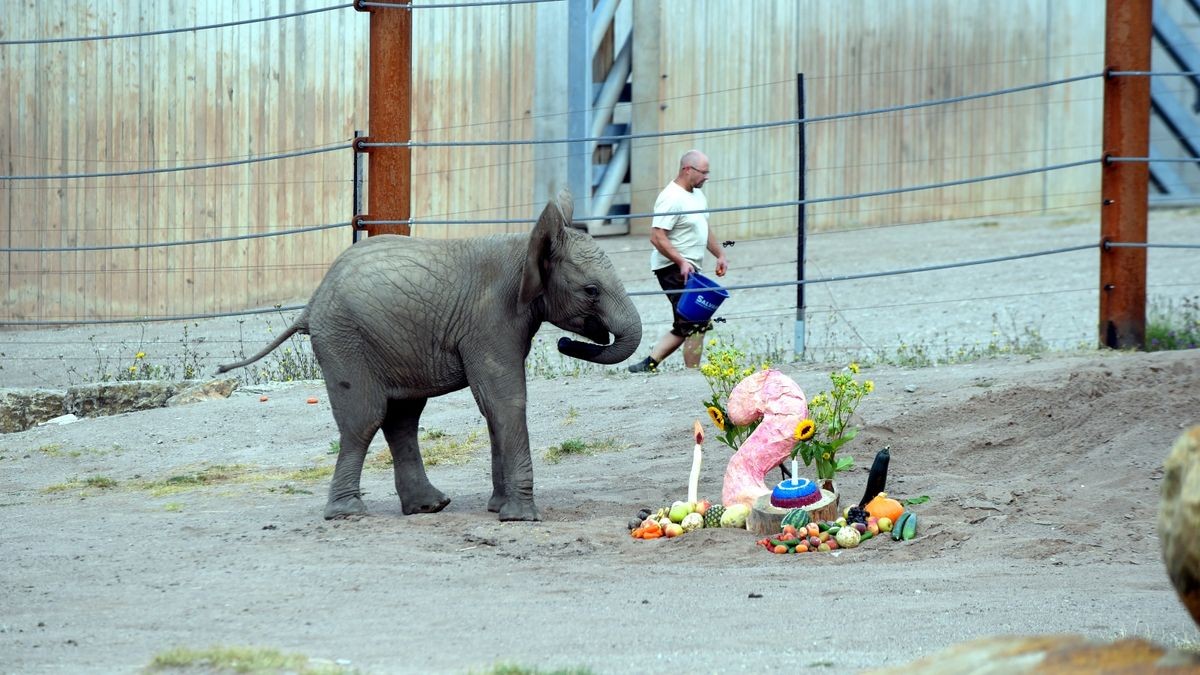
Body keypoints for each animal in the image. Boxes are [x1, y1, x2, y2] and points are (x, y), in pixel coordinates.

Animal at [220, 192, 643, 516]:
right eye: (591, 291)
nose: (564, 344)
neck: (523, 246)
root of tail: (310, 305)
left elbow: (492, 406)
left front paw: (497, 509)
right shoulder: (490, 321)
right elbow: (504, 400)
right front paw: (521, 517)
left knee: (401, 419)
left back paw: (428, 507)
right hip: (345, 339)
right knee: (364, 419)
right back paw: (348, 513)